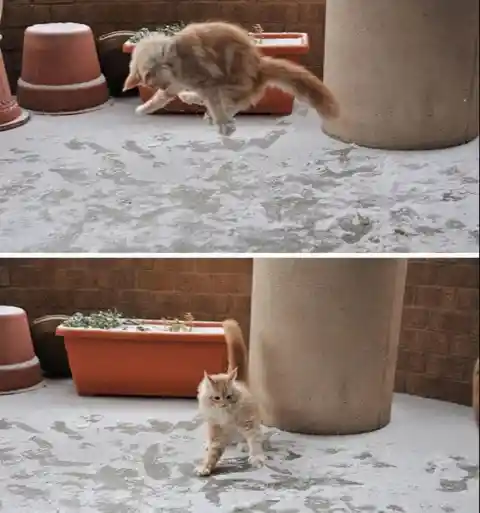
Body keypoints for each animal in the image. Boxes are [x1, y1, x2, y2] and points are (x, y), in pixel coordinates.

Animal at [124, 21, 342, 136]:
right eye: (150, 82)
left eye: (155, 77)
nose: (162, 84)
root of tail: (260, 66)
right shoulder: (176, 86)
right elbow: (159, 100)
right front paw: (144, 109)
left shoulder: (206, 81)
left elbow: (215, 104)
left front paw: (221, 121)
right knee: (234, 102)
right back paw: (192, 99)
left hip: (230, 83)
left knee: (236, 103)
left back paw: (217, 119)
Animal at [195, 318, 264, 474]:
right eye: (217, 398)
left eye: (229, 397)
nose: (223, 404)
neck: (226, 416)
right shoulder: (217, 429)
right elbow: (213, 451)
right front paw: (206, 466)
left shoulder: (249, 423)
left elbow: (255, 441)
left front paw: (256, 457)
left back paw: (243, 444)